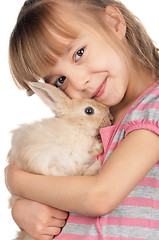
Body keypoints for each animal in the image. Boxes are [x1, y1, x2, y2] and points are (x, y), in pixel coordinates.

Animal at [7, 81, 112, 239]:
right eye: (89, 111)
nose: (110, 117)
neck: (75, 127)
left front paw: (98, 149)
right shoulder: (64, 165)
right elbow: (81, 172)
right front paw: (97, 163)